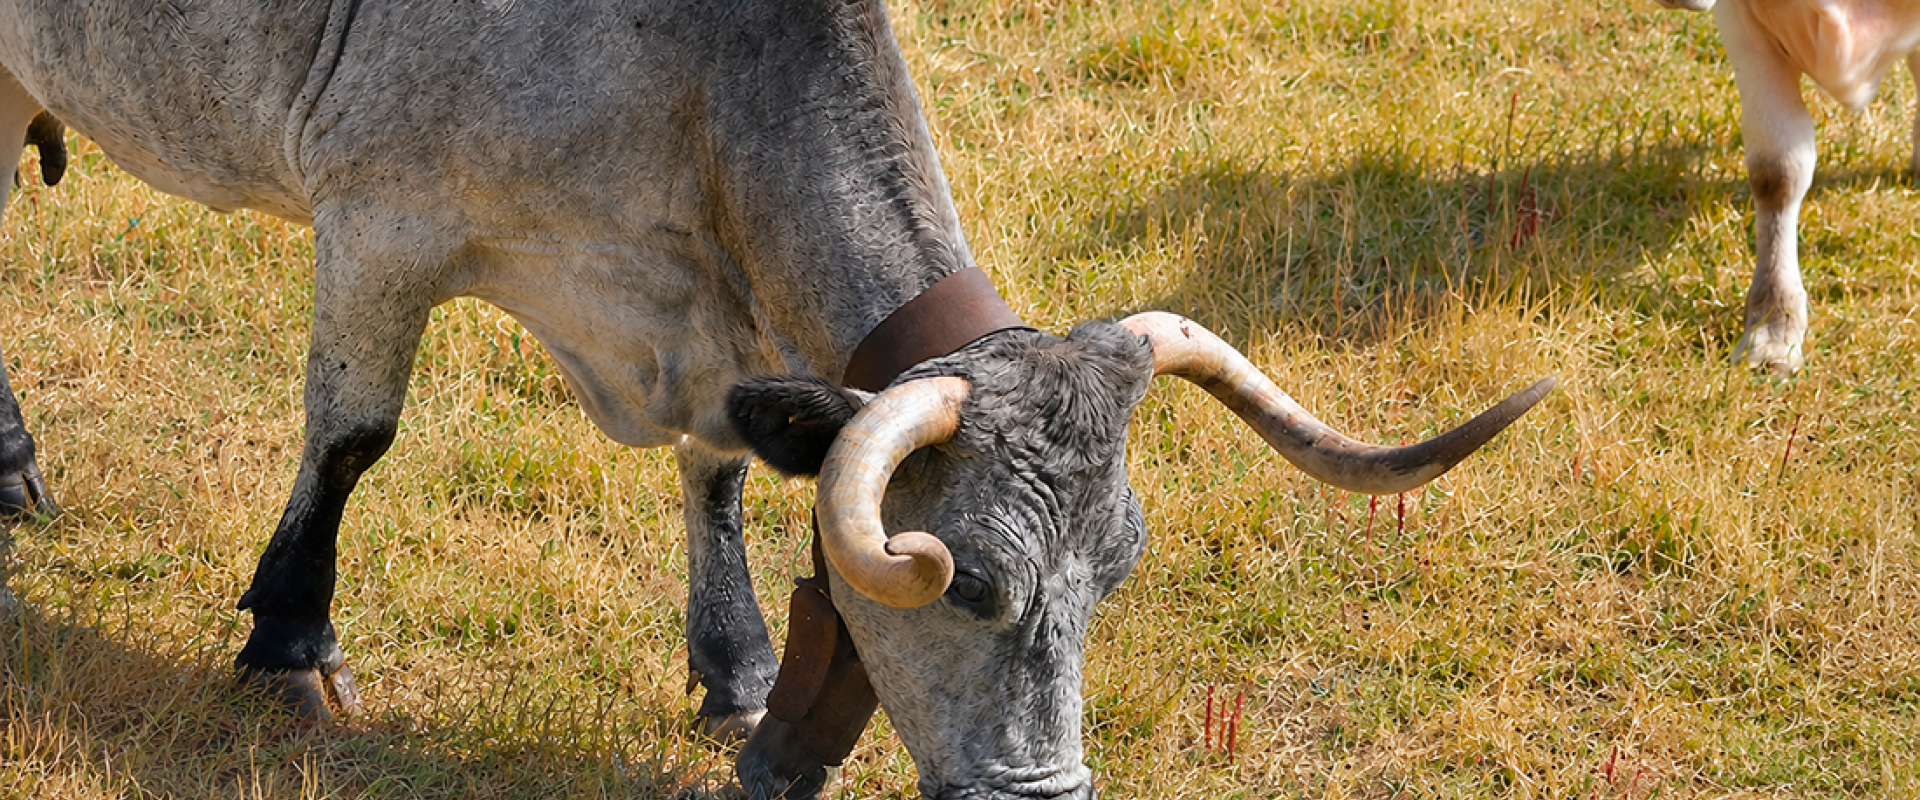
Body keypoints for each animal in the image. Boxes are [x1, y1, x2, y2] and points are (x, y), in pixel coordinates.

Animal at [0, 2, 1553, 798]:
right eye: (965, 582)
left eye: (1118, 573)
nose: (1045, 796)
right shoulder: (380, 219)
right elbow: (352, 436)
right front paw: (293, 642)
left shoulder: (713, 321)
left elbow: (722, 470)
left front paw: (736, 668)